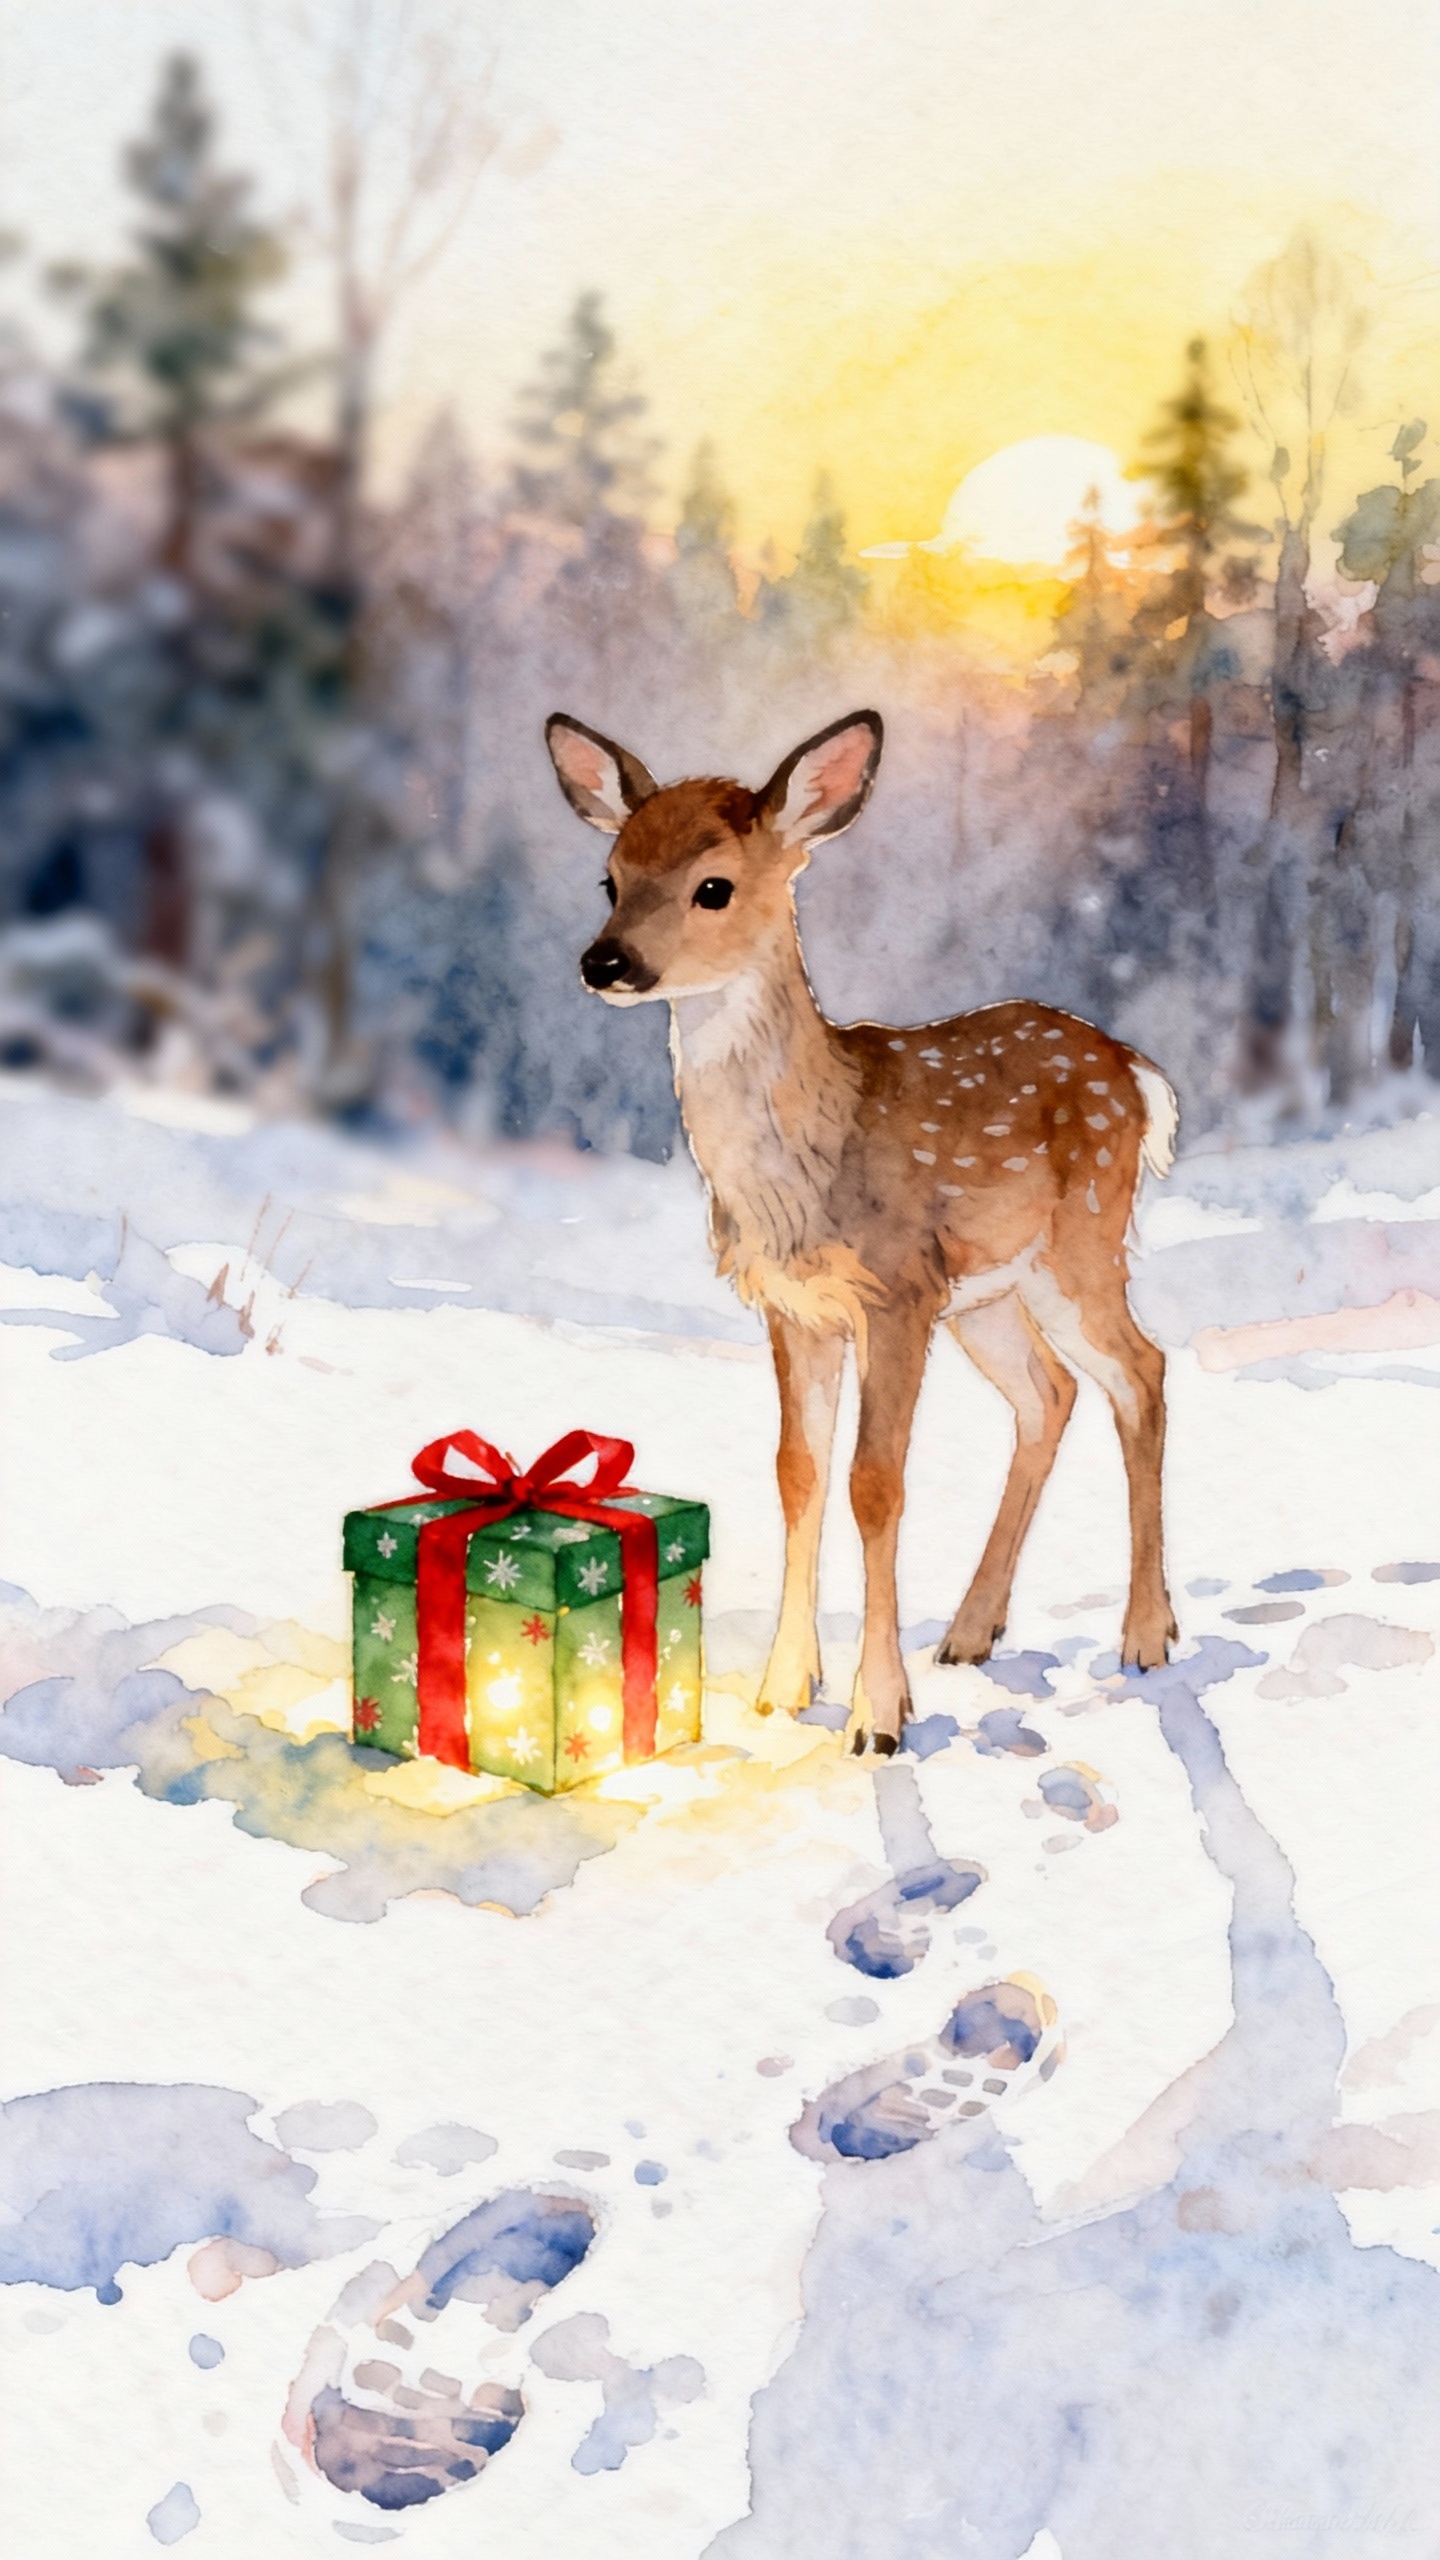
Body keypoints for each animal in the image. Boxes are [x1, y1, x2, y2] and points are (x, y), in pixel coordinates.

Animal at [545, 707, 1179, 1756]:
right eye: (610, 877)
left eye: (713, 886)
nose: (605, 962)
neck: (806, 1168)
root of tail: (1136, 1071)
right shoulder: (796, 1307)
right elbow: (797, 1472)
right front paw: (781, 1690)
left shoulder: (894, 1290)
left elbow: (875, 1484)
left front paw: (877, 1716)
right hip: (989, 1292)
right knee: (1049, 1393)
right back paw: (971, 1630)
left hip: (1078, 1244)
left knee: (1142, 1371)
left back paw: (1147, 1635)